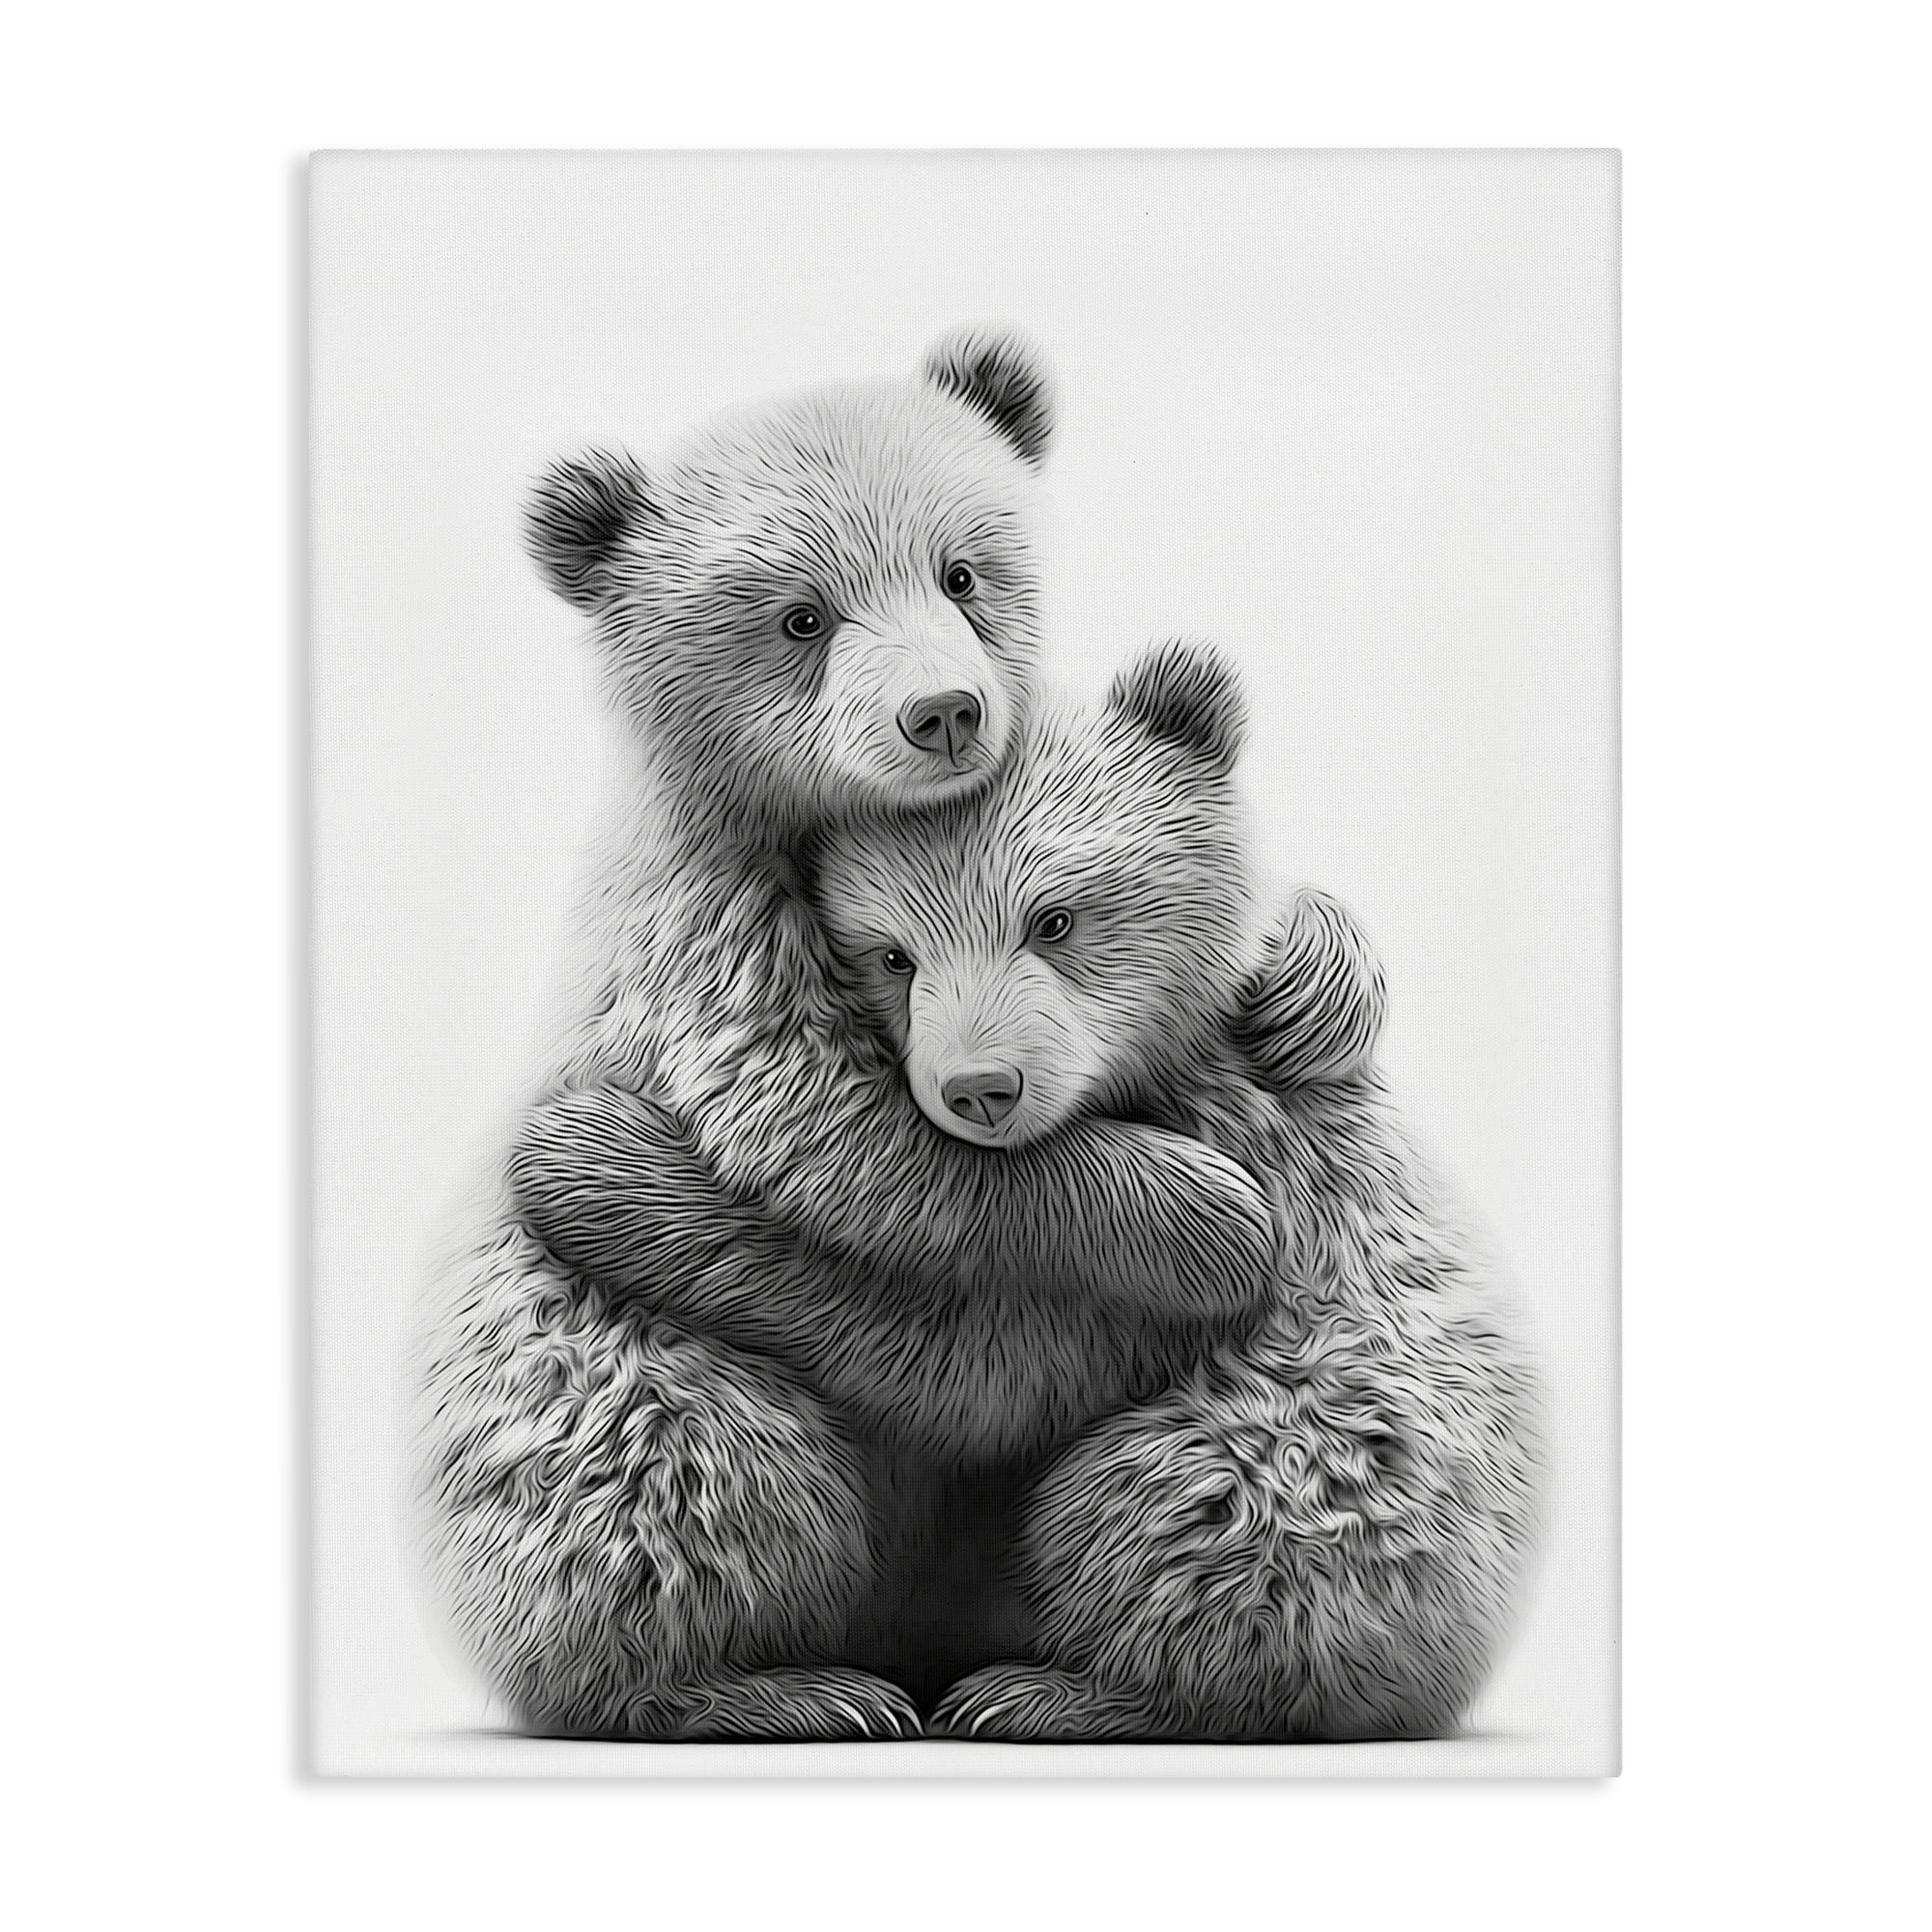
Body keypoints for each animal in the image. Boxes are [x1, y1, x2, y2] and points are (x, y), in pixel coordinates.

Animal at [415, 331, 1300, 1740]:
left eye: (961, 570)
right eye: (799, 615)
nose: (943, 711)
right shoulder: (706, 934)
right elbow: (841, 1137)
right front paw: (1201, 1214)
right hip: (601, 1379)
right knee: (696, 1470)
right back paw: (786, 1685)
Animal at [513, 637, 1541, 1742]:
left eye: (1054, 916)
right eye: (892, 955)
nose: (981, 1087)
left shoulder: (1258, 1178)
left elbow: (982, 1354)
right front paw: (583, 1152)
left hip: (1314, 1463)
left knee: (1173, 1504)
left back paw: (1046, 1688)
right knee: (701, 1459)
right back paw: (791, 1686)